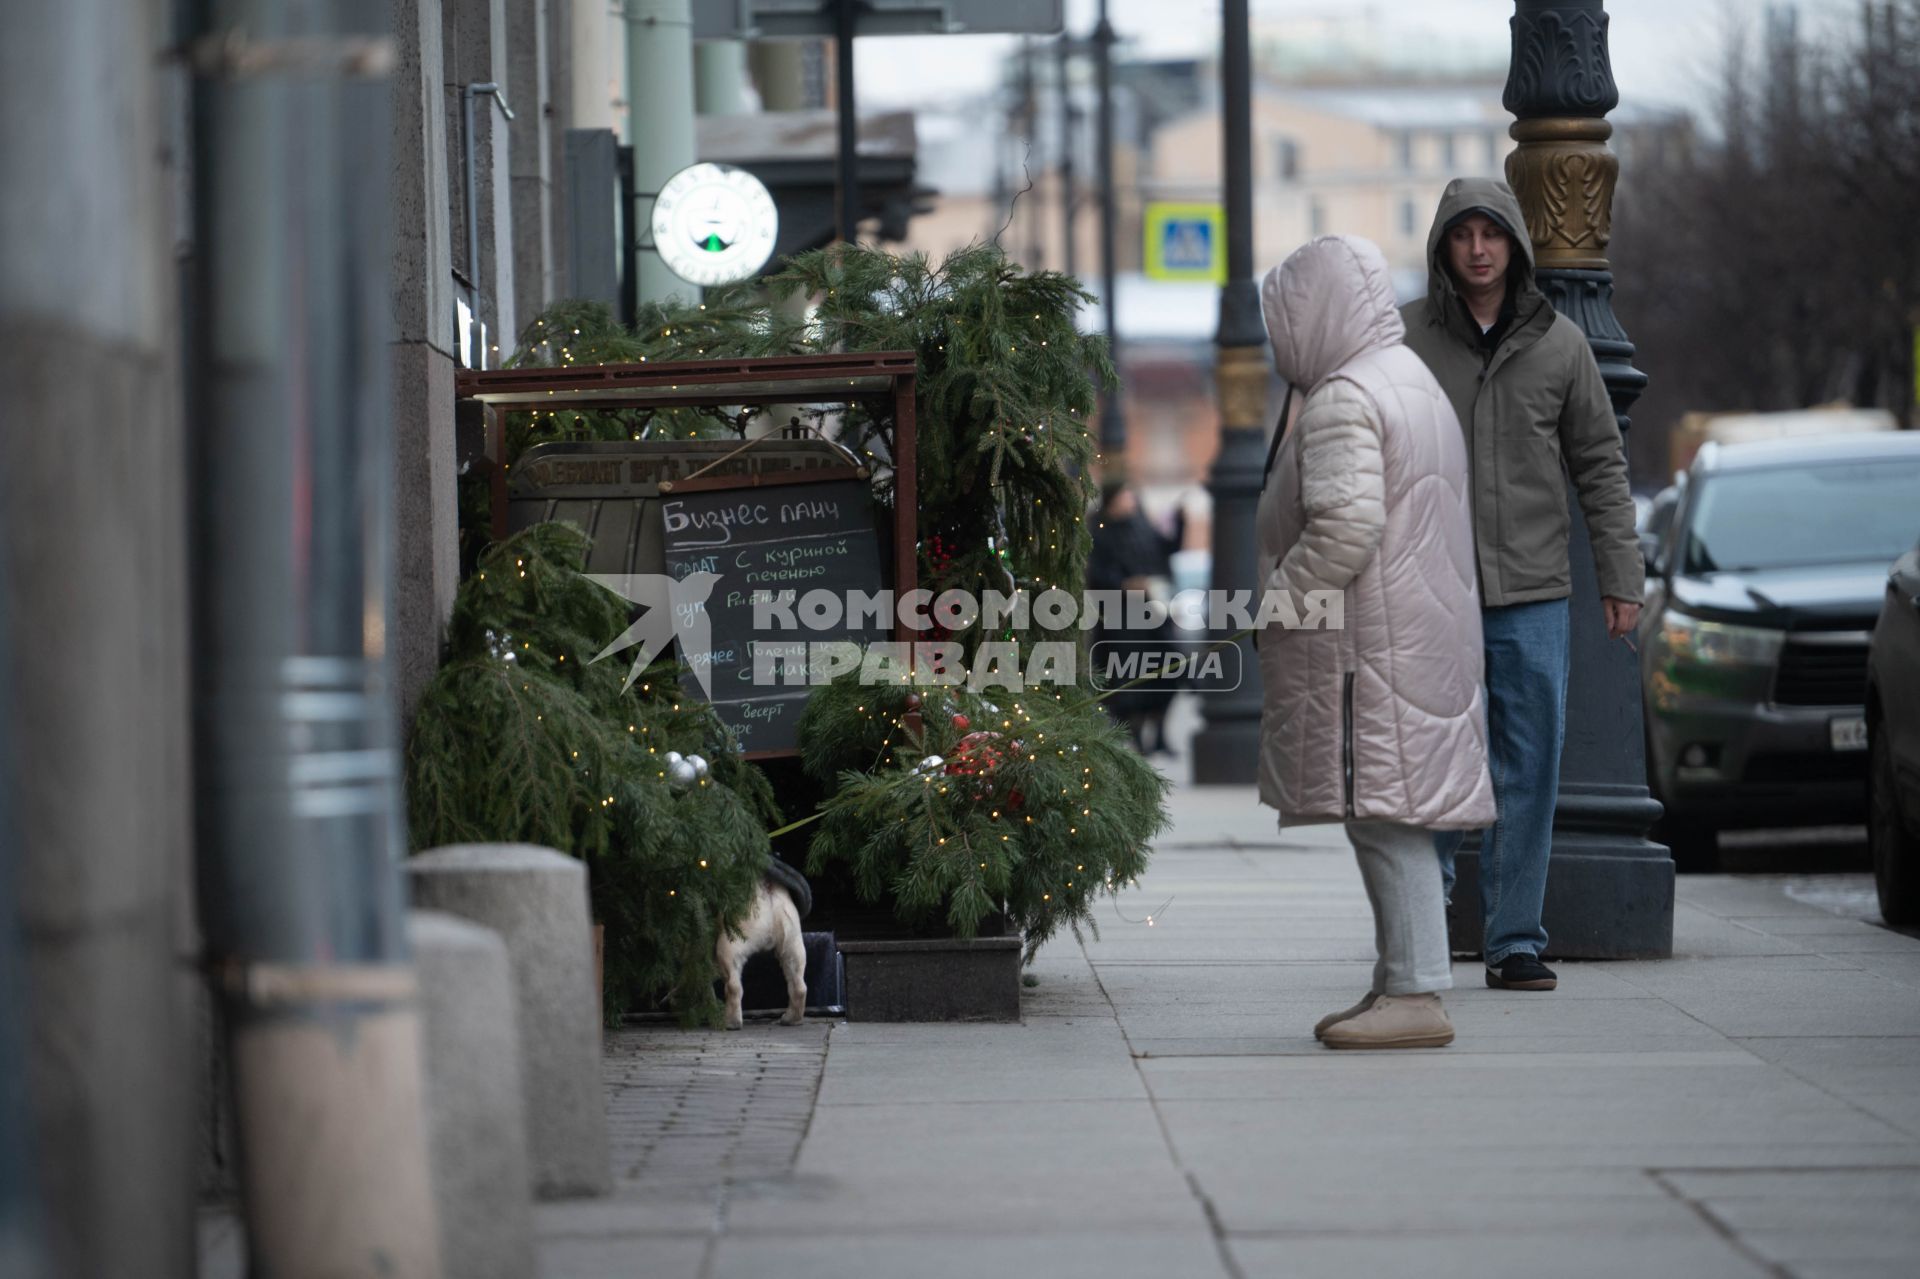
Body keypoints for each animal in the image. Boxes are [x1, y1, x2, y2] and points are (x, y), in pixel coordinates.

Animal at [718, 856, 814, 1029]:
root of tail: (765, 887)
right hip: (792, 945)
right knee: (798, 986)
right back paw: (791, 1019)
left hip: (729, 946)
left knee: (733, 986)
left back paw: (731, 1022)